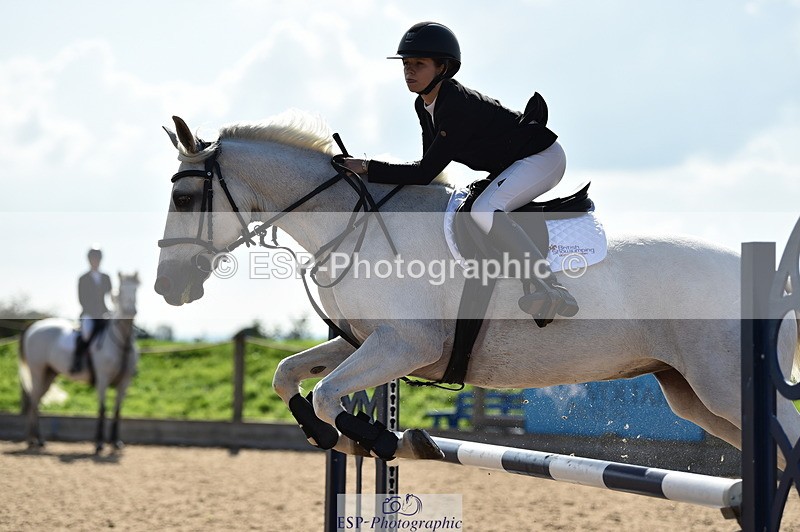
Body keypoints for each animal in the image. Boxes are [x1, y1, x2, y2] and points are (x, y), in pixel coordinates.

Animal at [19, 273, 141, 453]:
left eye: (136, 289)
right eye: (119, 291)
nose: (130, 311)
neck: (121, 342)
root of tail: (33, 326)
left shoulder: (124, 383)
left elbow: (117, 410)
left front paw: (116, 443)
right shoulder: (102, 380)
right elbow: (102, 409)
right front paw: (99, 444)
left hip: (49, 374)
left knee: (36, 401)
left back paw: (33, 440)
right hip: (37, 371)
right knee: (33, 402)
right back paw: (36, 440)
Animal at [155, 111, 800, 464]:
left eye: (183, 197)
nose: (169, 289)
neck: (357, 222)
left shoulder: (407, 344)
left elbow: (325, 394)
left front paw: (381, 439)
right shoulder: (369, 341)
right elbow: (290, 374)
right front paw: (335, 434)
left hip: (726, 387)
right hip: (693, 393)